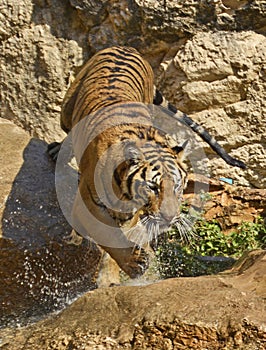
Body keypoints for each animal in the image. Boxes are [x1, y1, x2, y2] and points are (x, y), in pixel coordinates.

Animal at [47, 45, 245, 278]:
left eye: (177, 186)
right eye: (153, 187)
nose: (169, 218)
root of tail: (127, 47)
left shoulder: (130, 212)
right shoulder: (89, 201)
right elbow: (107, 233)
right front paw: (135, 264)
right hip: (67, 107)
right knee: (67, 127)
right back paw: (57, 150)